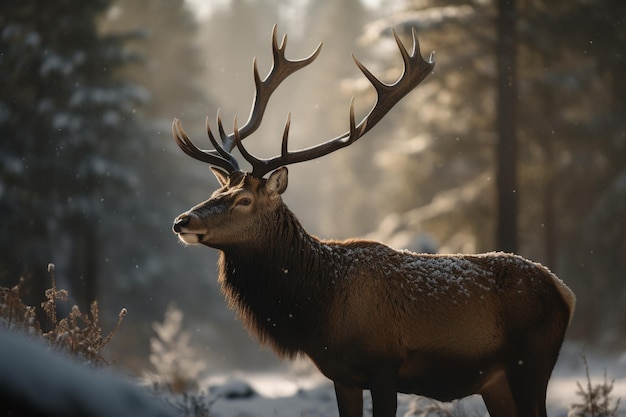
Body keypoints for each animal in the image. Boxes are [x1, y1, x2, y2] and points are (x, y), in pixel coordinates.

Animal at [171, 26, 576, 416]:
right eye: (218, 191)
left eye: (244, 200)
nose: (181, 221)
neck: (317, 306)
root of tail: (563, 290)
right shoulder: (341, 375)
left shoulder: (385, 367)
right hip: (495, 381)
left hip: (532, 363)